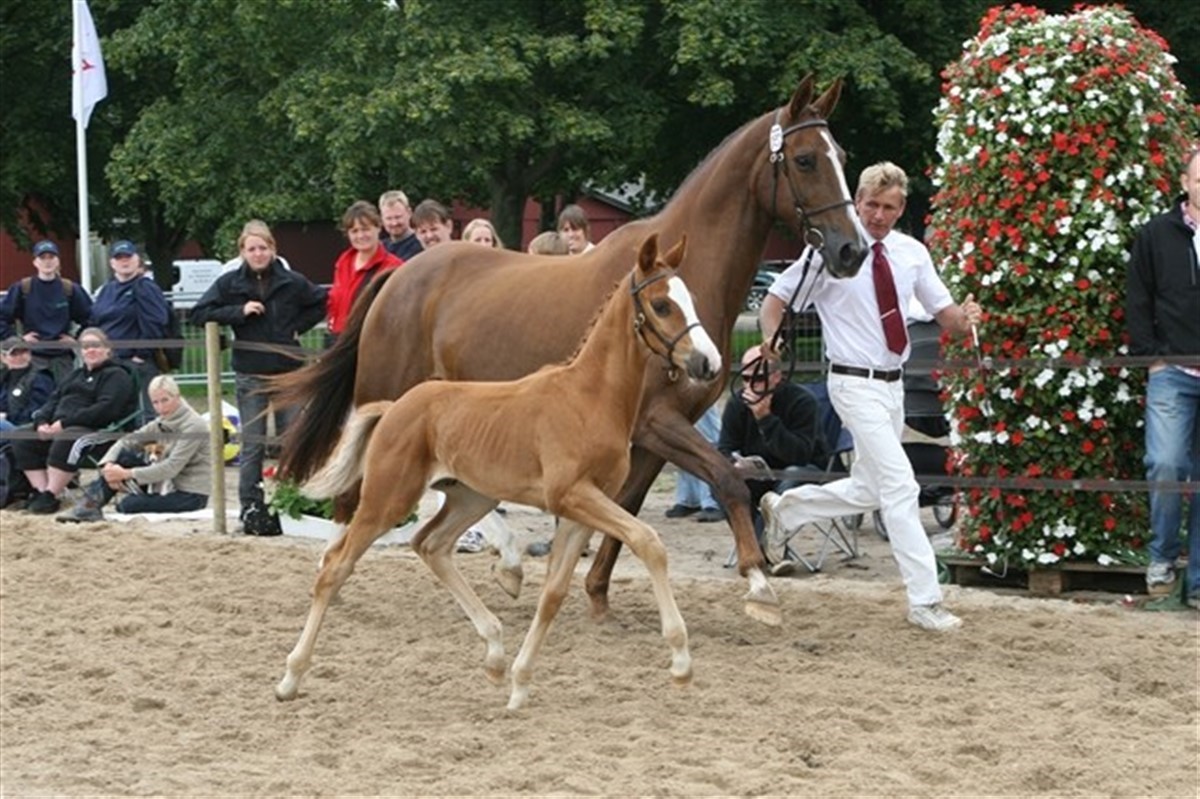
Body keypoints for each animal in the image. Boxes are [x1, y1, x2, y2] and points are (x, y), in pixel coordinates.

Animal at [274, 74, 866, 627]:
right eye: (806, 159)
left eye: (842, 157)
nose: (852, 250)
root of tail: (396, 277)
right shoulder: (659, 421)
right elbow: (728, 481)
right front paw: (759, 585)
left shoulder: (647, 436)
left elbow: (626, 508)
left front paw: (597, 593)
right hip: (390, 405)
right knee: (358, 499)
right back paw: (338, 579)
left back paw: (508, 564)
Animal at [275, 233, 721, 710]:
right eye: (661, 305)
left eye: (691, 300)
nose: (707, 363)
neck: (589, 396)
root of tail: (394, 407)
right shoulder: (572, 495)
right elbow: (648, 541)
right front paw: (681, 662)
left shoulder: (585, 507)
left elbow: (553, 594)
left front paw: (520, 684)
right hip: (388, 497)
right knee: (335, 567)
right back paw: (290, 678)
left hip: (470, 496)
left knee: (430, 544)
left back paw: (493, 652)